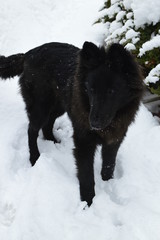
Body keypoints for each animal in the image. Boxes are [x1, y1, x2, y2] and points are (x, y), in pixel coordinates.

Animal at [0, 40, 143, 204]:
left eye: (111, 91)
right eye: (91, 90)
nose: (93, 123)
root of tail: (28, 54)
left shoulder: (114, 140)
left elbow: (109, 166)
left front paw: (108, 184)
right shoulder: (84, 144)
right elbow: (87, 176)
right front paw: (87, 202)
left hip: (60, 105)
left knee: (47, 124)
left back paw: (52, 140)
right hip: (41, 106)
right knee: (32, 130)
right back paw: (34, 157)